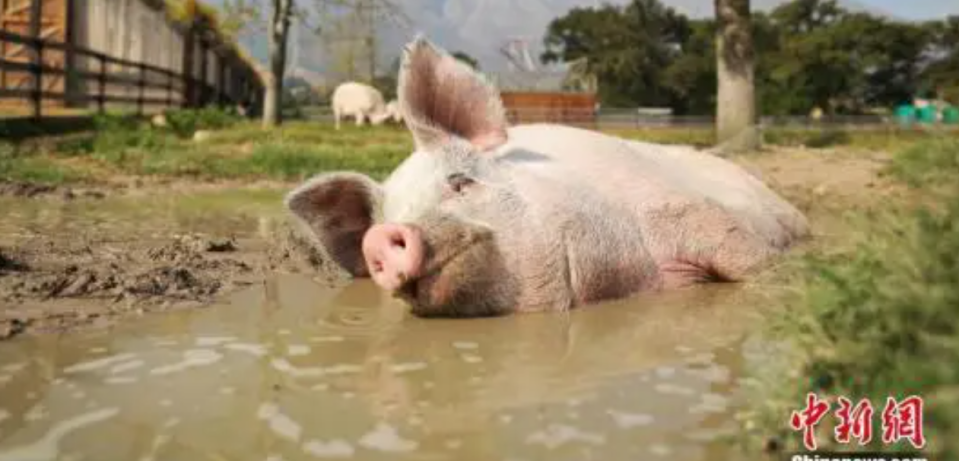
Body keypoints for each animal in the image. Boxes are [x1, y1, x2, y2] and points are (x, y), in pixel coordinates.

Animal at [284, 36, 808, 316]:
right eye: (386, 217)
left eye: (460, 181)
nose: (383, 237)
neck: (610, 281)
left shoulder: (678, 207)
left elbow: (742, 254)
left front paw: (784, 278)